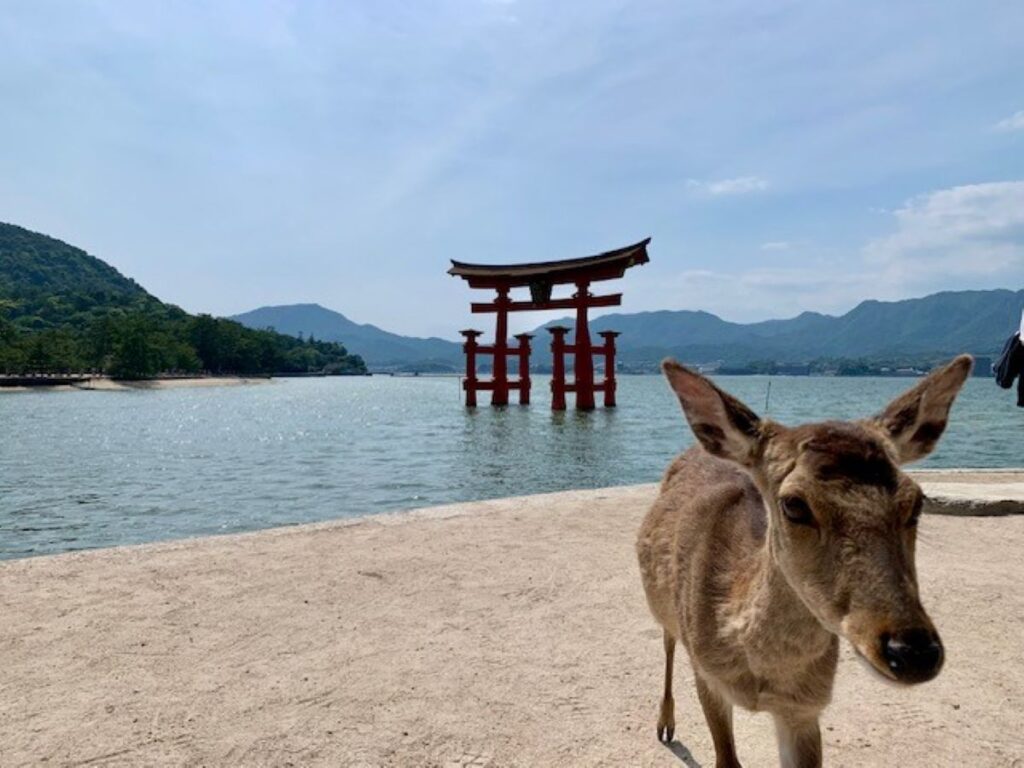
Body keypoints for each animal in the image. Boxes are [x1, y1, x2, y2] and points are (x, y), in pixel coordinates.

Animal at [636, 355, 972, 768]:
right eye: (794, 504)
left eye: (917, 502)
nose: (913, 652)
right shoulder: (707, 675)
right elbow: (726, 758)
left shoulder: (805, 708)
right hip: (664, 609)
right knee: (668, 641)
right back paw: (665, 724)